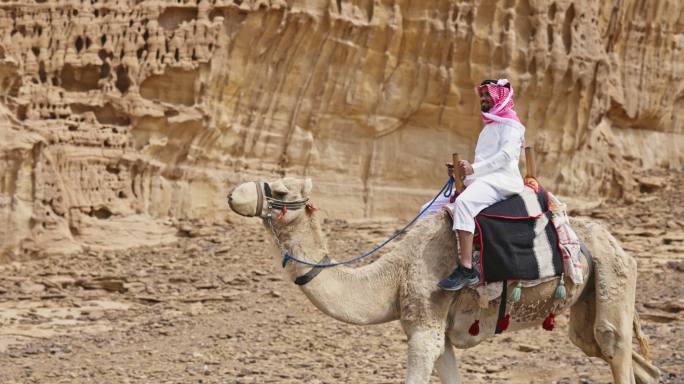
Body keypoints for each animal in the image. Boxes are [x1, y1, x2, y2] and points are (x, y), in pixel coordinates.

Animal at [227, 176, 660, 382]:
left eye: (280, 189)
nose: (233, 193)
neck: (395, 274)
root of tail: (618, 245)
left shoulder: (425, 324)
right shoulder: (439, 332)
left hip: (612, 276)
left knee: (613, 345)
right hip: (589, 300)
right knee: (622, 357)